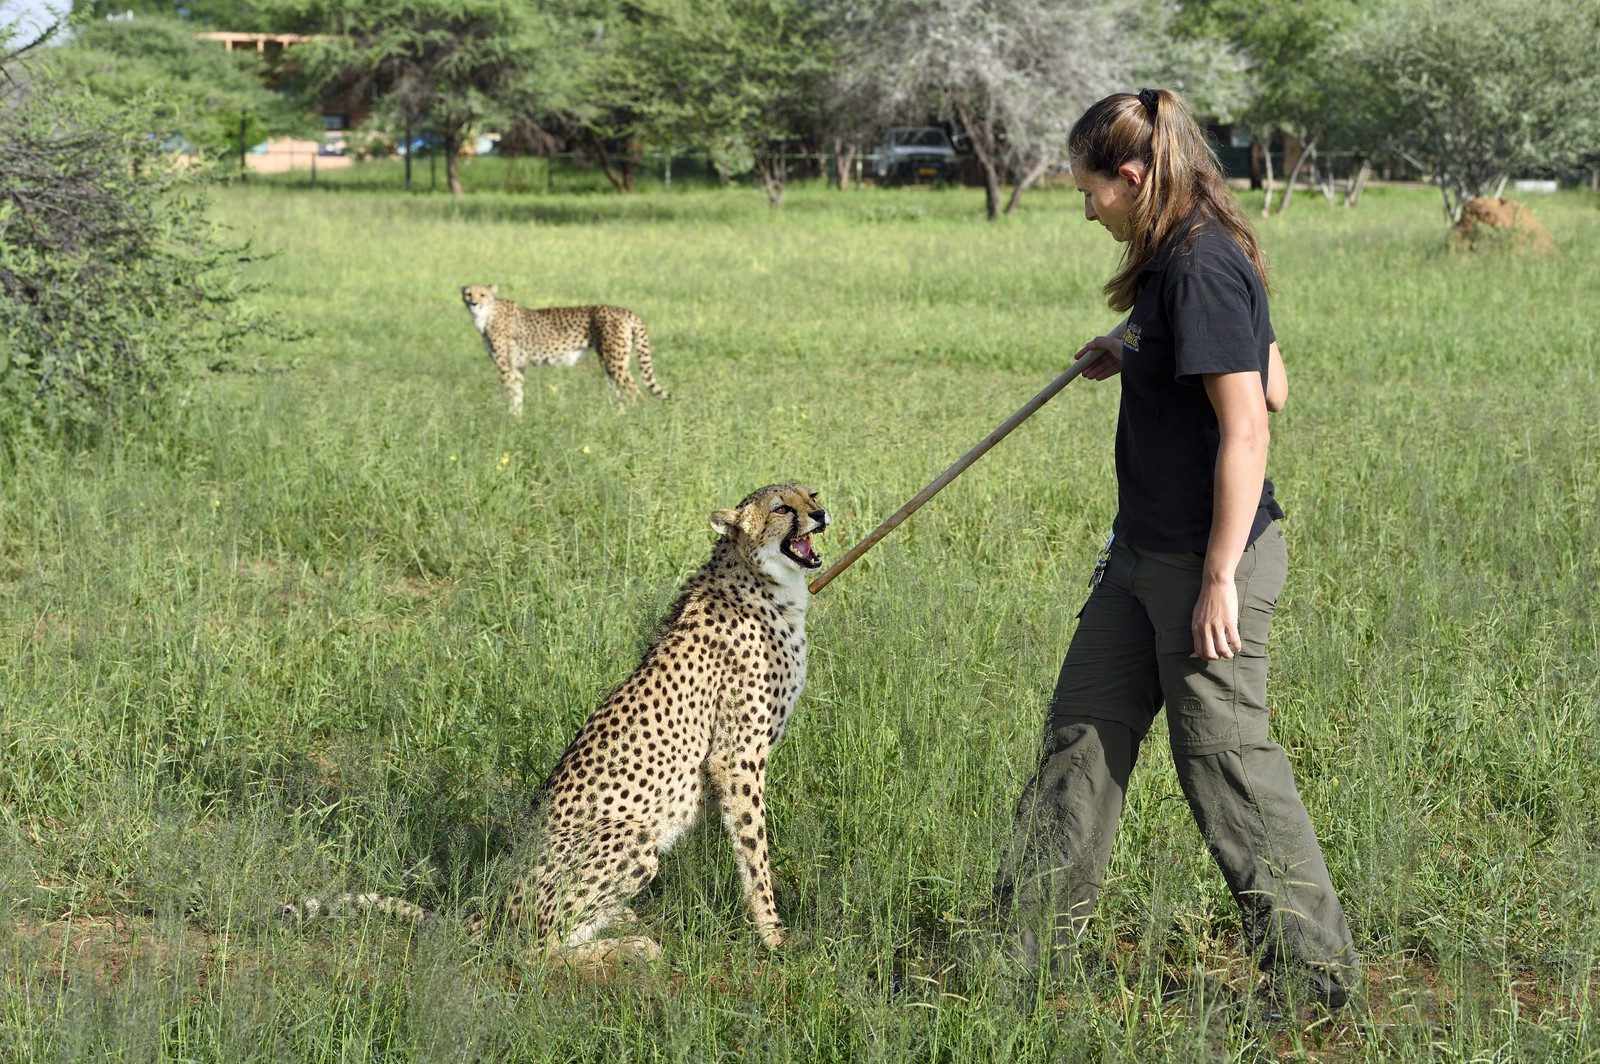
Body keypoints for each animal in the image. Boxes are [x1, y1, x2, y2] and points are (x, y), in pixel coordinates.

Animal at [286, 483, 829, 972]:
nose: (822, 513)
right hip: (632, 839)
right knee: (529, 952)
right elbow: (754, 853)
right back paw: (628, 948)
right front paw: (774, 935)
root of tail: (494, 908)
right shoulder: (736, 758)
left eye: (812, 494)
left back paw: (622, 922)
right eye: (782, 507)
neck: (763, 583)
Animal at [459, 284, 669, 414]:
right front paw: (518, 421)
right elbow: (517, 395)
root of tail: (624, 310)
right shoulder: (517, 367)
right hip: (609, 364)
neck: (487, 314)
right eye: (468, 294)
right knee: (621, 395)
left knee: (636, 394)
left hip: (614, 362)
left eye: (482, 294)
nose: (473, 303)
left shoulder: (505, 366)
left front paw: (508, 422)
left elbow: (509, 394)